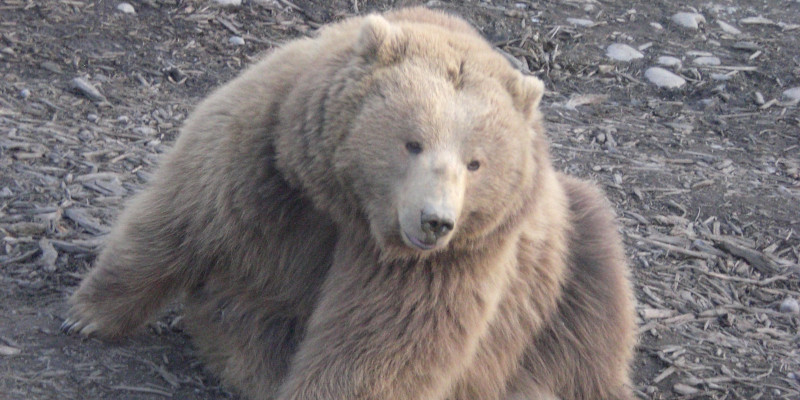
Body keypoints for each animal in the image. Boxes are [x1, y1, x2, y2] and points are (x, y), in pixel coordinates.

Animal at [62, 7, 637, 400]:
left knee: (591, 323)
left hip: (568, 268)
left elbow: (380, 340)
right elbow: (187, 214)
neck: (348, 204)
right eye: (413, 142)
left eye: (476, 162)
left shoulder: (449, 259)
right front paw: (87, 315)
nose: (435, 222)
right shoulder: (268, 152)